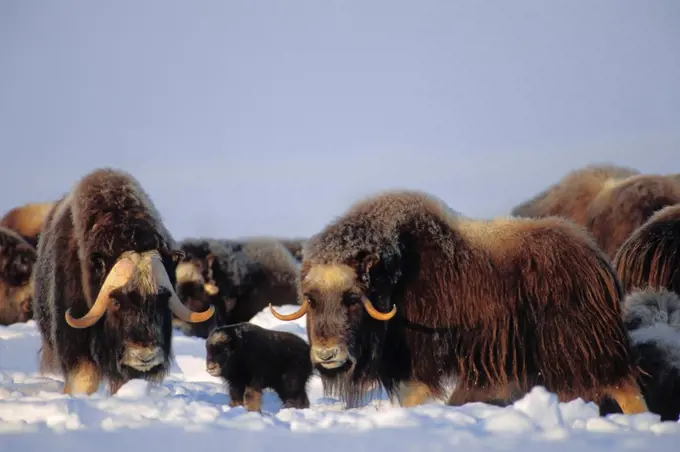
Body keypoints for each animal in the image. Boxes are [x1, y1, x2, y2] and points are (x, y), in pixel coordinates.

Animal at [272, 191, 648, 414]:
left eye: (352, 298)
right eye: (311, 299)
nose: (327, 355)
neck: (393, 280)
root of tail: (595, 256)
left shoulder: (423, 358)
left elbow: (416, 393)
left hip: (582, 345)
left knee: (623, 384)